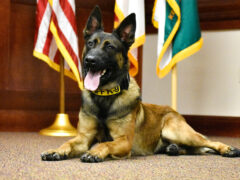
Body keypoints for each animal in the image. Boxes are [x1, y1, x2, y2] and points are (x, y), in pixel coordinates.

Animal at [40, 6, 239, 162]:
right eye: (90, 44)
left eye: (109, 47)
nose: (90, 61)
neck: (105, 96)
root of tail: (174, 111)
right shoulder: (83, 138)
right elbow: (67, 142)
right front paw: (56, 150)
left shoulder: (124, 140)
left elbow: (105, 144)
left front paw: (94, 152)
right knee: (194, 149)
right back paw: (174, 149)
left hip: (177, 131)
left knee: (209, 142)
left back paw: (228, 149)